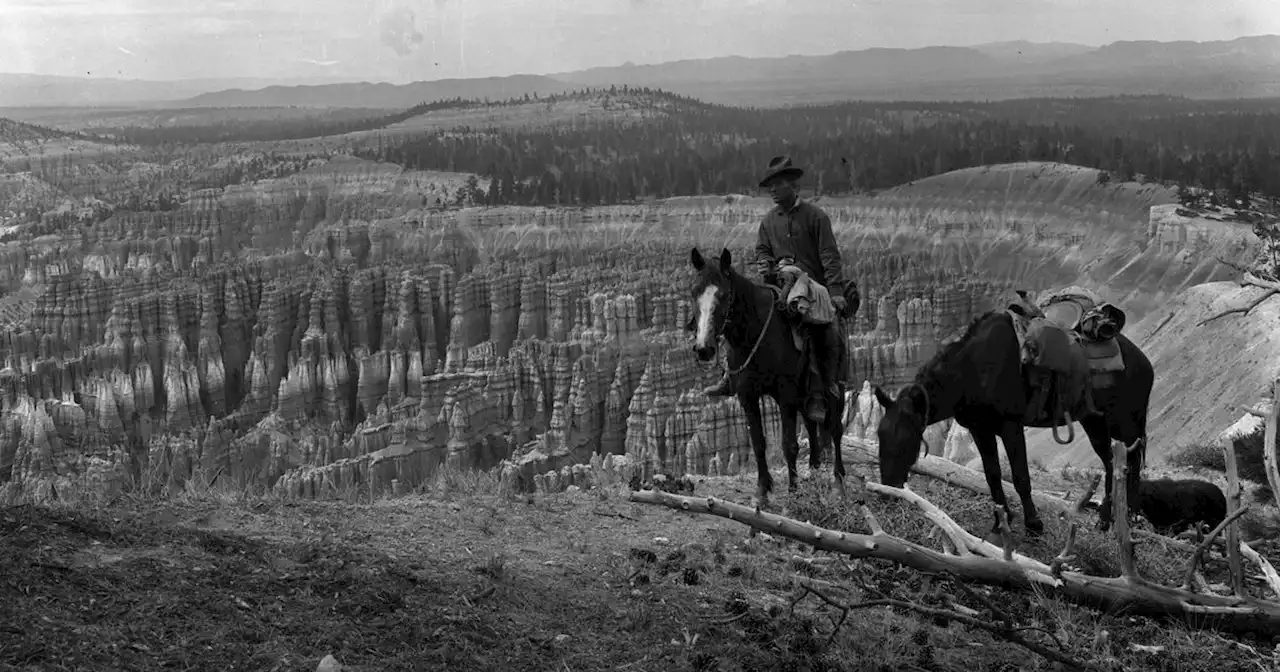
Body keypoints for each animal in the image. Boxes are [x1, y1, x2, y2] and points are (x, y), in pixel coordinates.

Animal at [691, 248, 849, 506]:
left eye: (723, 295)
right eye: (694, 292)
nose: (704, 348)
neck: (753, 336)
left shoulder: (785, 396)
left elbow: (789, 444)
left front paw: (793, 492)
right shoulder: (747, 396)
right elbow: (758, 443)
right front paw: (762, 492)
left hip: (835, 386)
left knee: (835, 428)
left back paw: (838, 483)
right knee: (811, 423)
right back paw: (814, 471)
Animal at [875, 309, 1157, 535]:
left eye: (906, 439)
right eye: (879, 435)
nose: (887, 492)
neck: (973, 372)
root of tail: (1144, 361)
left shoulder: (1011, 427)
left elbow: (1021, 477)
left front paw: (1033, 524)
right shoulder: (980, 430)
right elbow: (992, 475)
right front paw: (1002, 520)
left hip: (1125, 423)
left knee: (1129, 464)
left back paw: (1129, 517)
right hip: (1094, 422)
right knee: (1111, 463)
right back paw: (1106, 520)